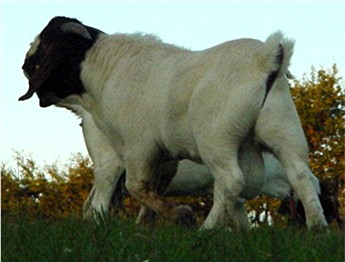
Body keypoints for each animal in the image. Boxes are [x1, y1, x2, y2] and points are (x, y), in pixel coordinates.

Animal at [18, 15, 326, 229]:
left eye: (43, 47)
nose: (23, 66)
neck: (105, 68)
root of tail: (265, 59)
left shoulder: (138, 146)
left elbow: (137, 187)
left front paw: (180, 215)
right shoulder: (159, 156)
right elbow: (150, 190)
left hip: (216, 138)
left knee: (231, 182)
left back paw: (206, 230)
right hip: (283, 128)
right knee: (300, 175)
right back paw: (317, 227)